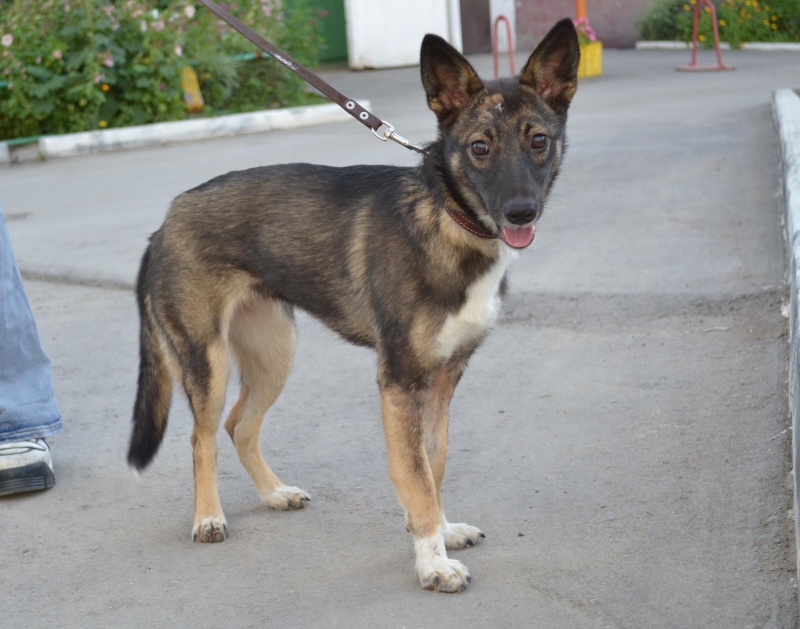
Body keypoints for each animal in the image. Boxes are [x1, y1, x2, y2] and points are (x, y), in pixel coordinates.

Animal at [128, 18, 579, 593]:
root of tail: (165, 221)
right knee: (201, 437)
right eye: (480, 148)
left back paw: (274, 494)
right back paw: (208, 516)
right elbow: (415, 475)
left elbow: (434, 464)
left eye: (538, 141)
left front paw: (441, 532)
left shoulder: (441, 381)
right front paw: (432, 561)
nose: (521, 212)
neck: (448, 217)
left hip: (274, 356)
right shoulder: (400, 382)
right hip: (207, 361)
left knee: (239, 426)